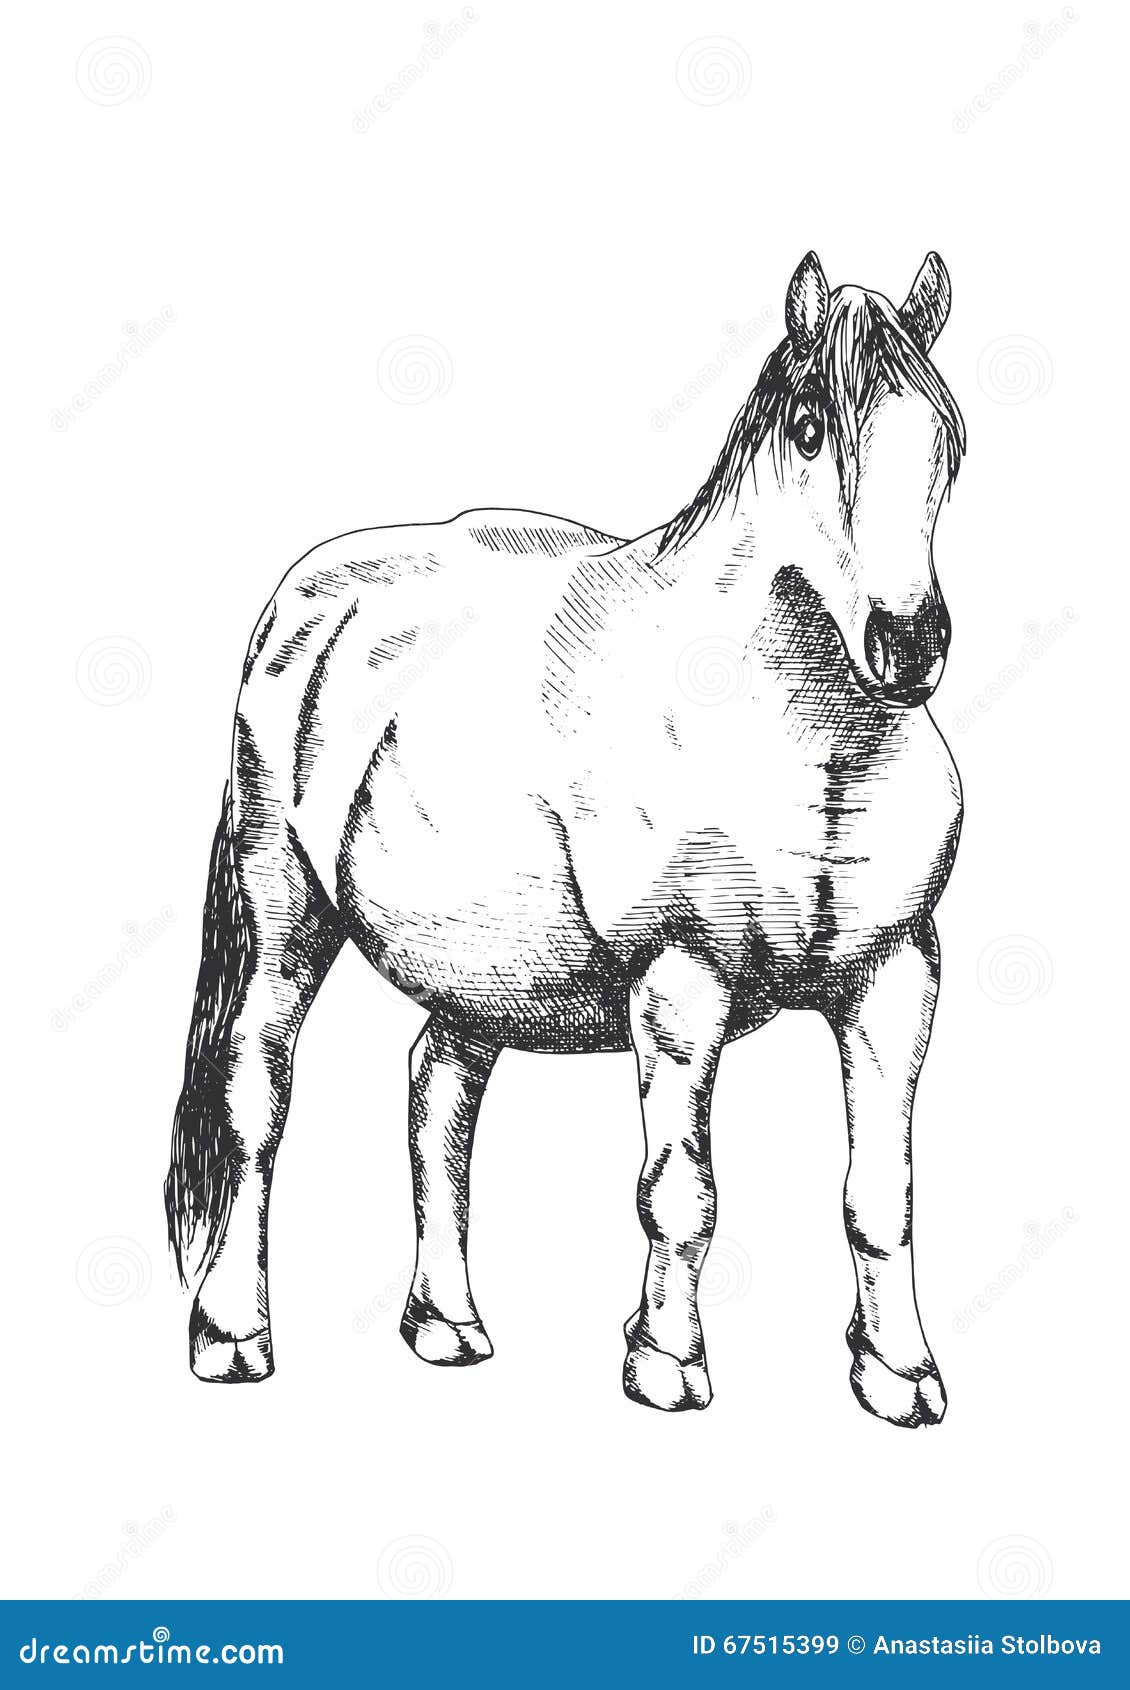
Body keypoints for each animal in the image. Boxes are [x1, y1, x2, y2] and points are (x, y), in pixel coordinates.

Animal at [165, 250, 966, 1427]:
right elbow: (681, 1195)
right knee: (254, 1101)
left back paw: (445, 1324)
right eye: (812, 427)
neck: (800, 738)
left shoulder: (896, 978)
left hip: (482, 969)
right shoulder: (680, 983)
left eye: (949, 436)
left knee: (438, 1090)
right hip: (283, 913)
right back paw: (232, 1334)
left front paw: (899, 1374)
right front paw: (667, 1363)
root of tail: (308, 600)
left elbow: (882, 1194)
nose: (907, 644)